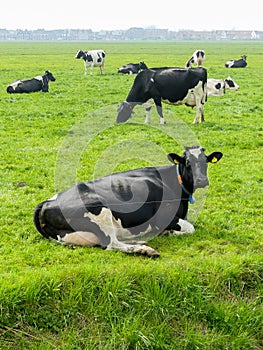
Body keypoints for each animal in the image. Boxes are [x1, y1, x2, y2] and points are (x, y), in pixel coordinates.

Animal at [34, 146, 224, 258]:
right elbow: (190, 228)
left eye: (205, 161)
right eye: (187, 162)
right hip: (99, 211)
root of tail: (45, 203)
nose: (201, 180)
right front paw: (169, 232)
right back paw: (145, 249)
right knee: (111, 244)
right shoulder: (165, 217)